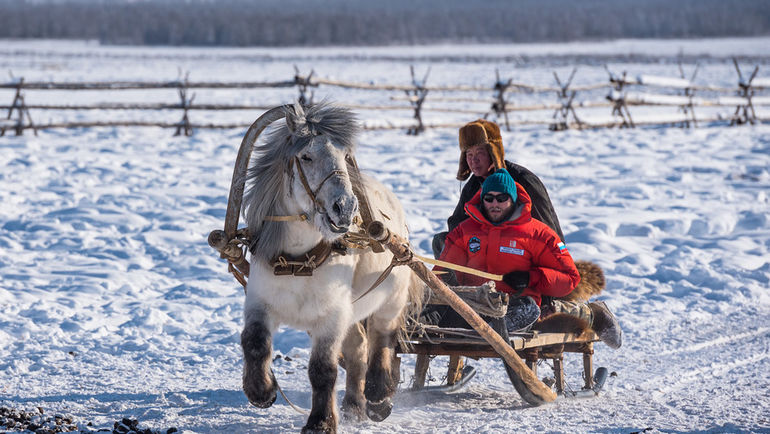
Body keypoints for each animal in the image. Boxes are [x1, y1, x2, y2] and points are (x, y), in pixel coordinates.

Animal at [240, 102, 420, 434]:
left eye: (344, 156)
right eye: (306, 156)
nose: (345, 208)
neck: (299, 262)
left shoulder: (332, 316)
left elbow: (323, 369)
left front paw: (320, 422)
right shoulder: (259, 302)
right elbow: (255, 342)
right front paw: (261, 391)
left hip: (391, 298)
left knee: (382, 339)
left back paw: (378, 396)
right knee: (359, 348)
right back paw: (354, 406)